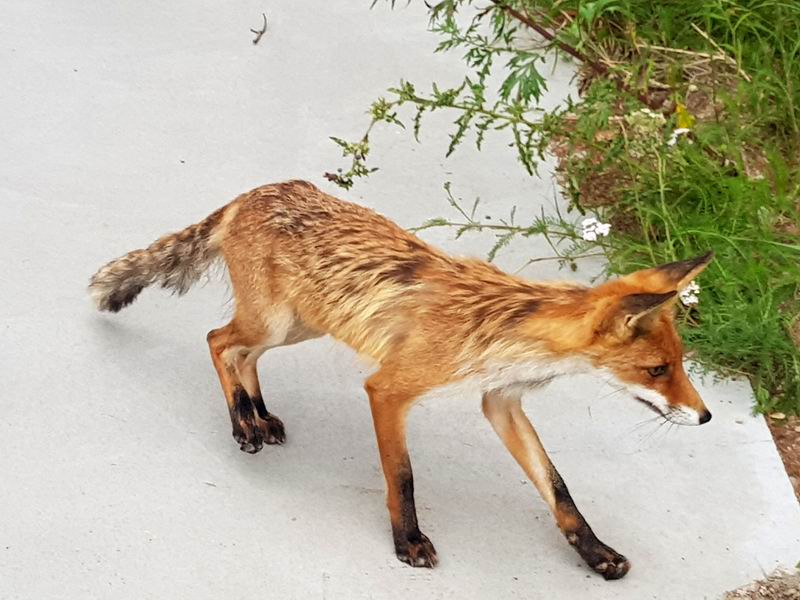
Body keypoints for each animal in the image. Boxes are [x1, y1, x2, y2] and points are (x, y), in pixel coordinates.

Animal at [89, 180, 713, 579]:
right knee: (218, 340)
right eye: (657, 370)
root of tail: (255, 191)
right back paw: (242, 421)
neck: (505, 331)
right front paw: (407, 542)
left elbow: (559, 489)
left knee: (242, 353)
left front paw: (595, 552)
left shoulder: (502, 403)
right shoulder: (389, 389)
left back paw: (260, 414)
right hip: (278, 320)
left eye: (681, 363)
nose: (706, 416)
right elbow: (404, 477)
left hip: (301, 325)